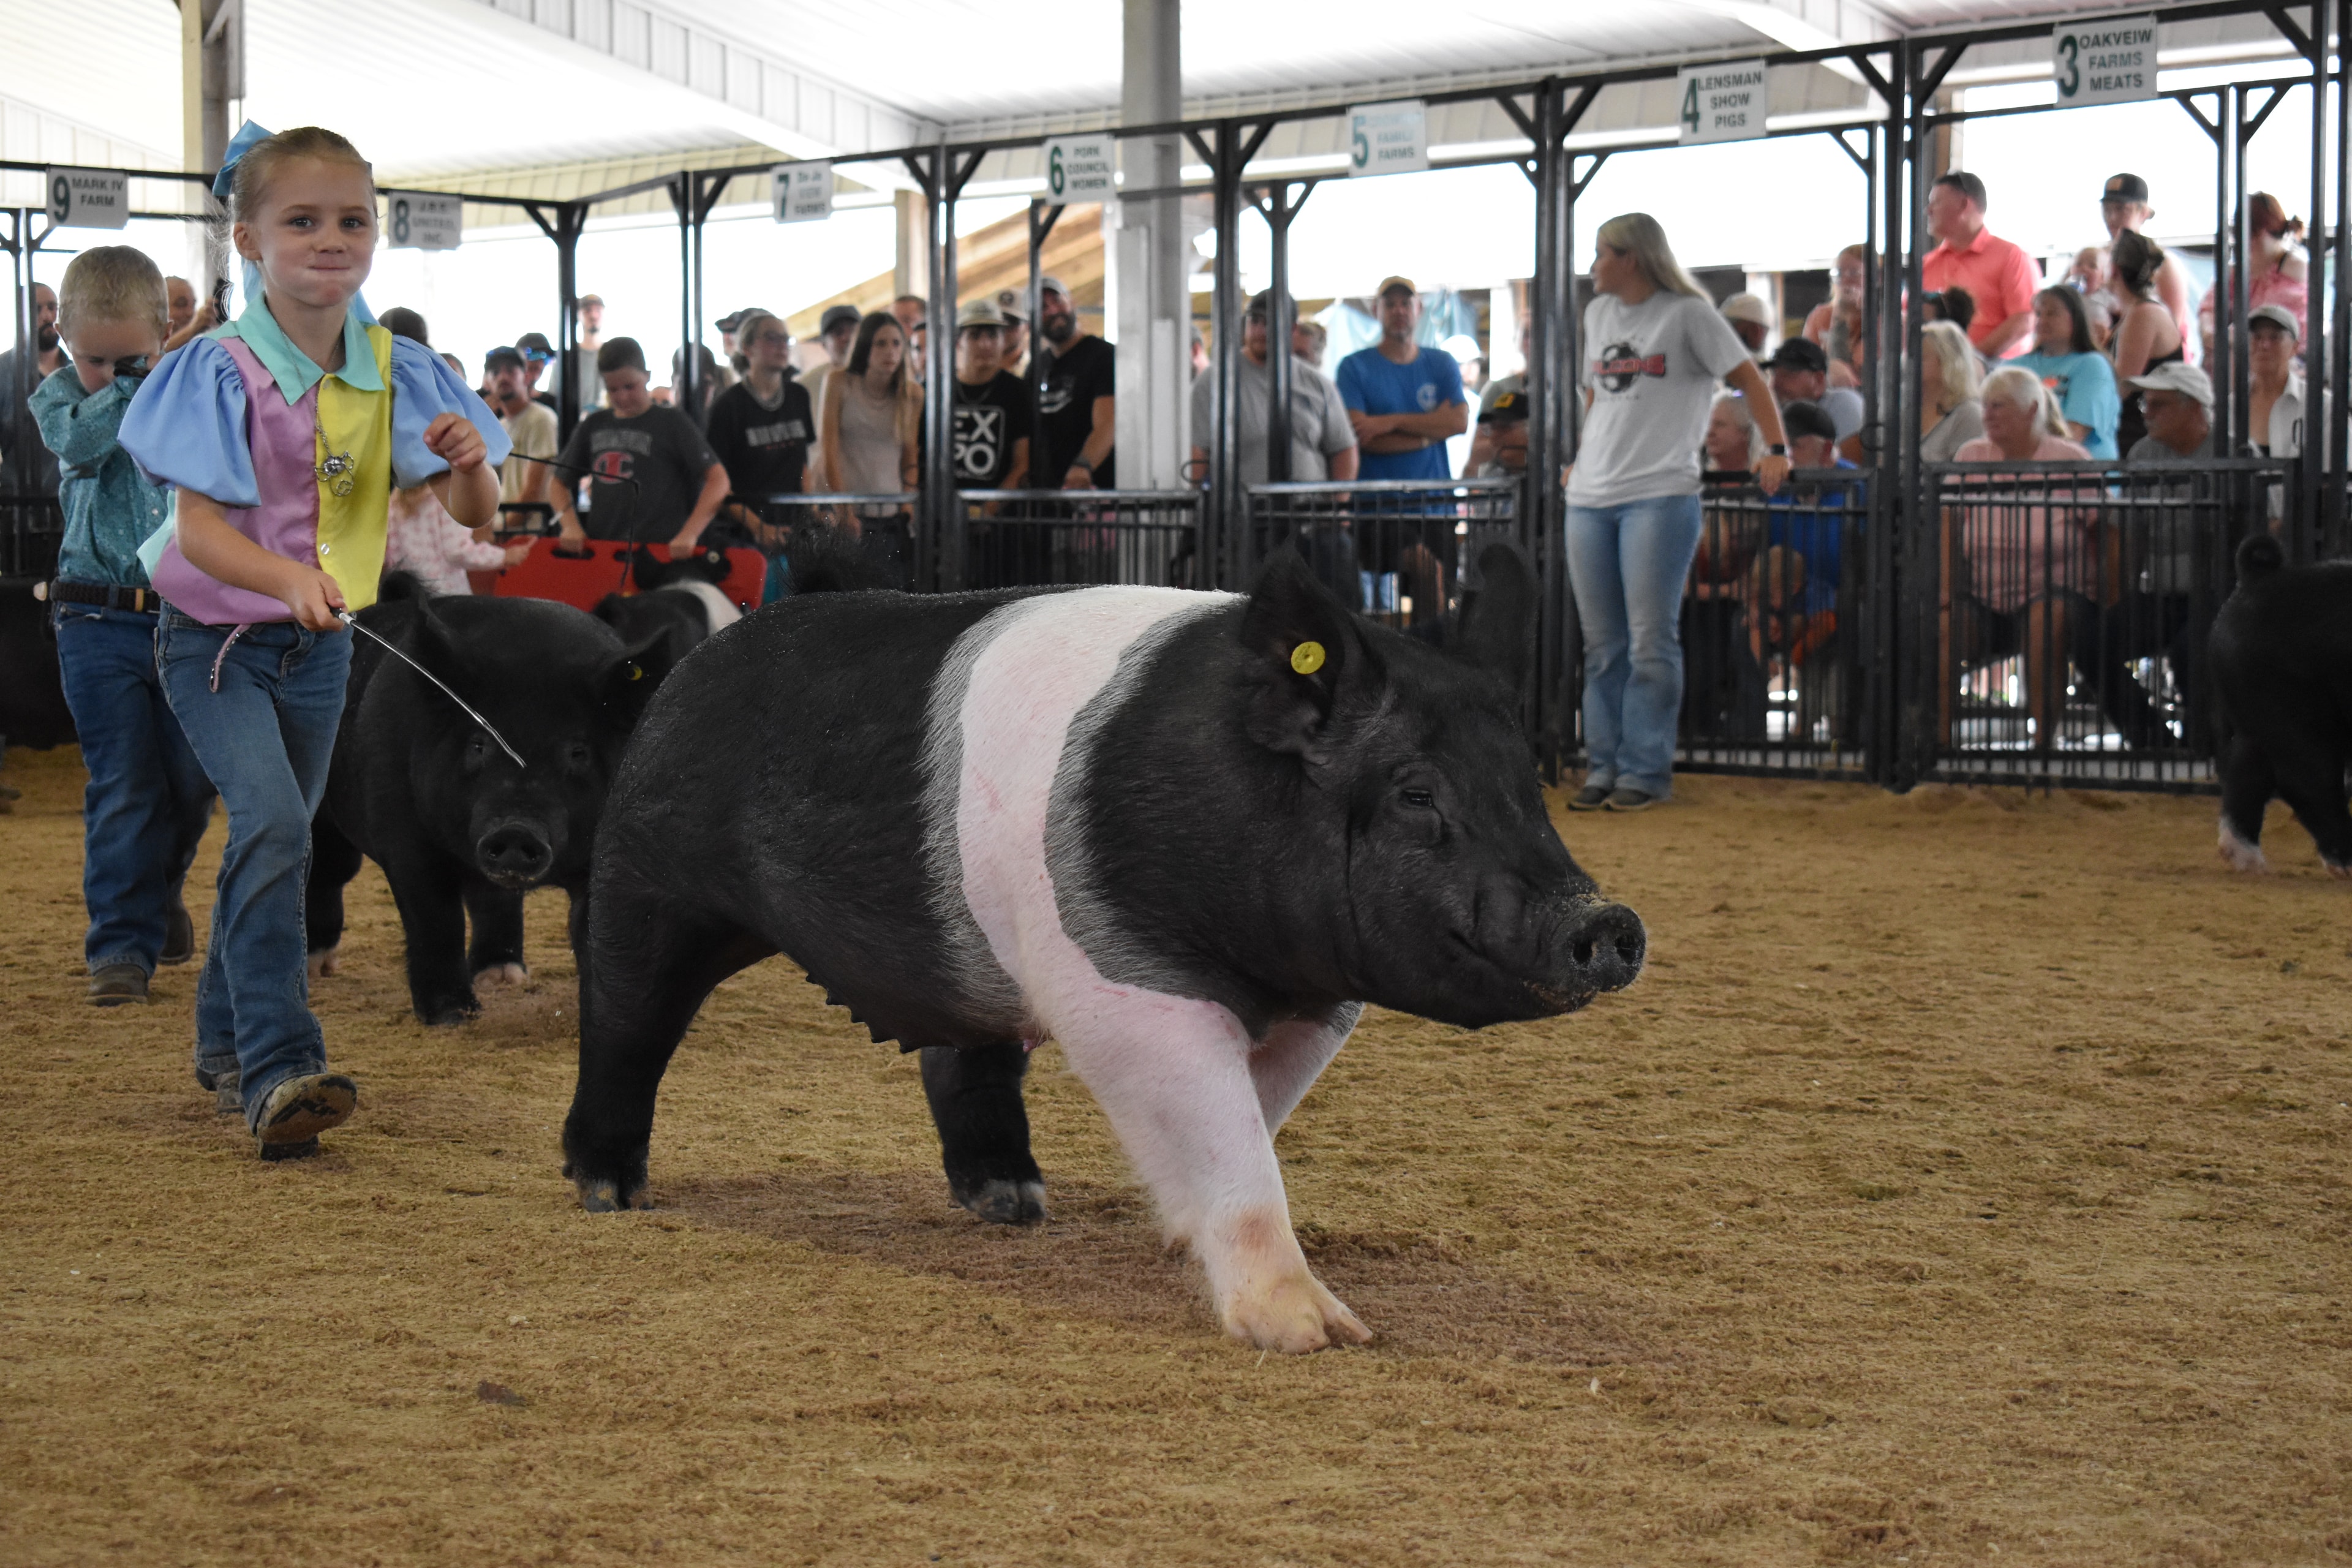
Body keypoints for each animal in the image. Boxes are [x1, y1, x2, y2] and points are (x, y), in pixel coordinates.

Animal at [307, 581, 669, 1024]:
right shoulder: (405, 840)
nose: (516, 829)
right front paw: (452, 1016)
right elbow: (435, 919)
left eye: (578, 752)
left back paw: (502, 977)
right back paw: (318, 967)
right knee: (326, 871)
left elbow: (596, 930)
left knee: (492, 898)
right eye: (479, 745)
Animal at [560, 546, 1644, 1352]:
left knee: (961, 1061)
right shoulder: (1126, 981)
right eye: (1417, 793)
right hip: (645, 874)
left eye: (1528, 783)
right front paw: (1319, 1333)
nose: (1608, 922)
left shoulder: (1315, 1005)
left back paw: (1015, 1203)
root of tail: (692, 662)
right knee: (624, 1020)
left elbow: (1254, 1117)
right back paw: (609, 1193)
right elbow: (1233, 1139)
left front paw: (1176, 1239)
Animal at [2210, 534, 2352, 877]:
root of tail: (2255, 580)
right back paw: (2346, 865)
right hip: (2294, 715)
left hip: (2259, 718)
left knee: (2246, 772)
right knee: (2308, 779)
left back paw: (2250, 863)